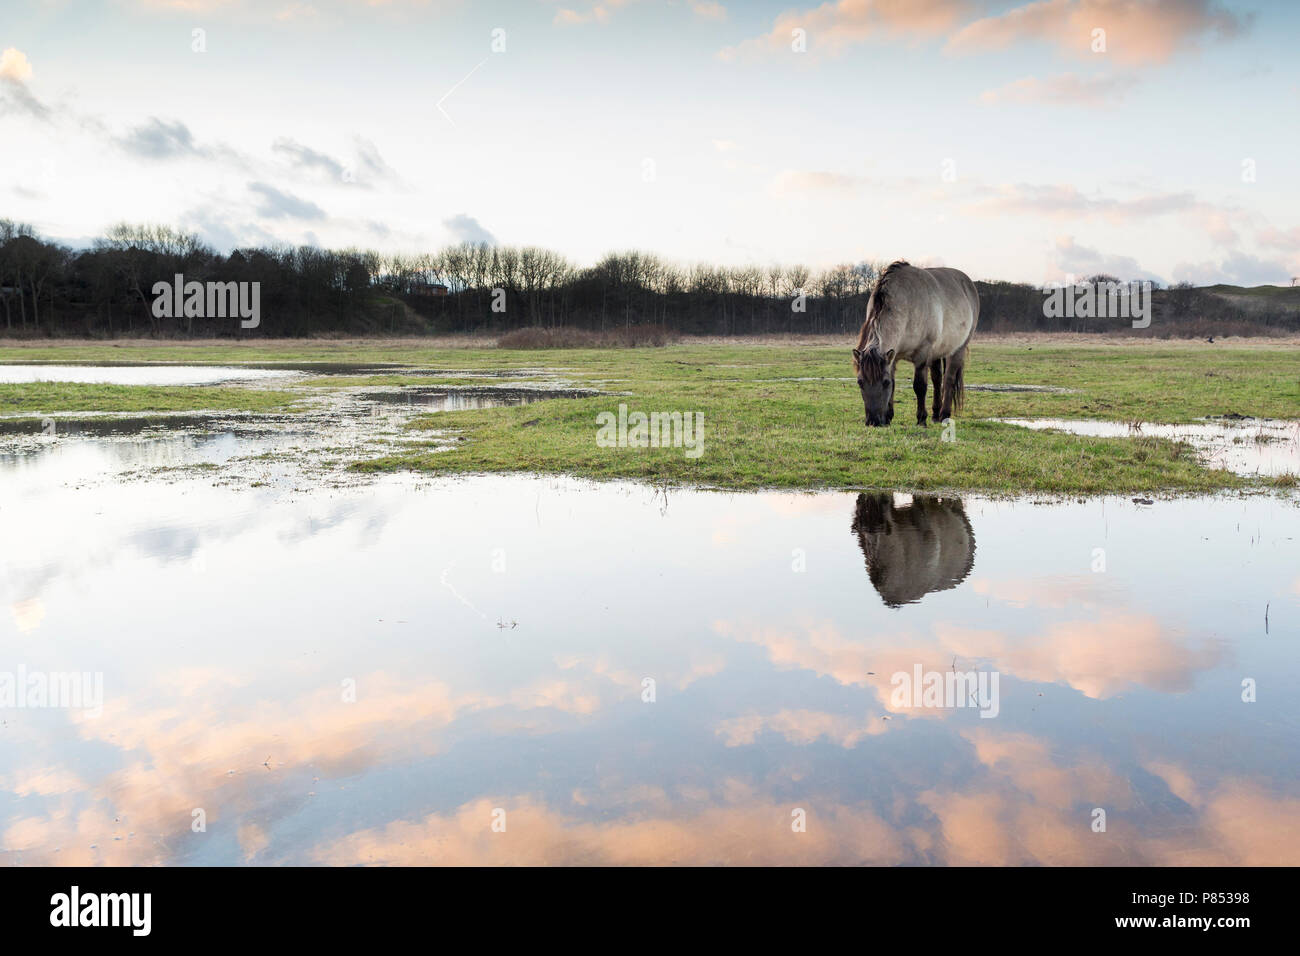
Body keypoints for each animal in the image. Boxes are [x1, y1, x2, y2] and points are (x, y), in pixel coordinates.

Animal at [852, 260, 977, 429]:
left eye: (884, 382)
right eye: (860, 382)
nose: (874, 422)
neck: (905, 304)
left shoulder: (922, 356)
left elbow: (920, 386)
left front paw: (921, 419)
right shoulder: (893, 357)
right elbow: (896, 384)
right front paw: (889, 417)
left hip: (957, 350)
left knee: (948, 379)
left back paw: (944, 415)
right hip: (936, 353)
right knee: (937, 379)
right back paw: (935, 415)